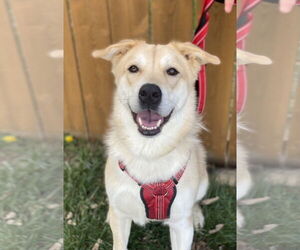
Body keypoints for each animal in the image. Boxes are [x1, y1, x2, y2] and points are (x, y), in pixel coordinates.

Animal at [92, 40, 219, 250]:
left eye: (172, 71)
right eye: (133, 68)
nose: (149, 93)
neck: (149, 152)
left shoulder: (181, 226)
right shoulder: (121, 217)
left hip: (203, 182)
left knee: (196, 201)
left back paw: (196, 215)